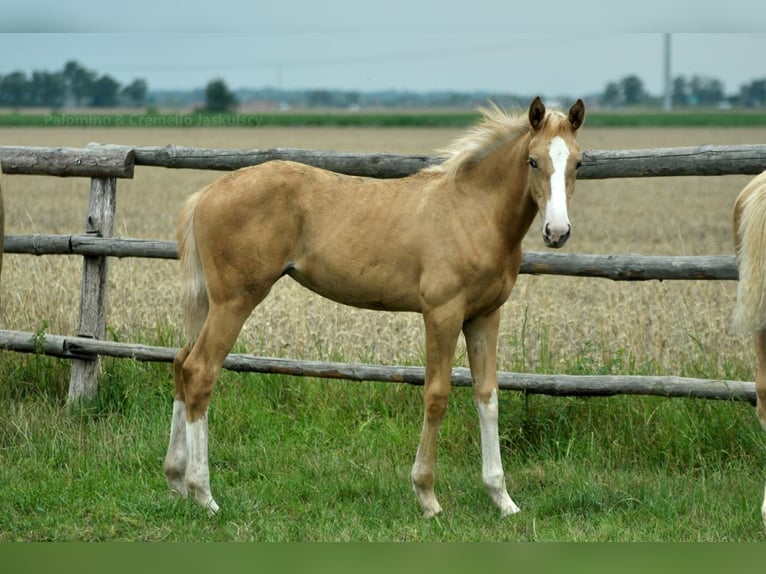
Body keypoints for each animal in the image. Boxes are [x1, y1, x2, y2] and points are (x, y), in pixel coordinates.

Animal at [165, 97, 588, 520]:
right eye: (533, 160)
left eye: (578, 163)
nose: (557, 232)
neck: (472, 212)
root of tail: (207, 194)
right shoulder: (442, 313)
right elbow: (437, 395)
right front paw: (427, 496)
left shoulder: (484, 316)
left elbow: (488, 397)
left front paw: (502, 498)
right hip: (234, 302)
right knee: (201, 371)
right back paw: (204, 494)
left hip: (213, 305)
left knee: (182, 363)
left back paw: (175, 480)